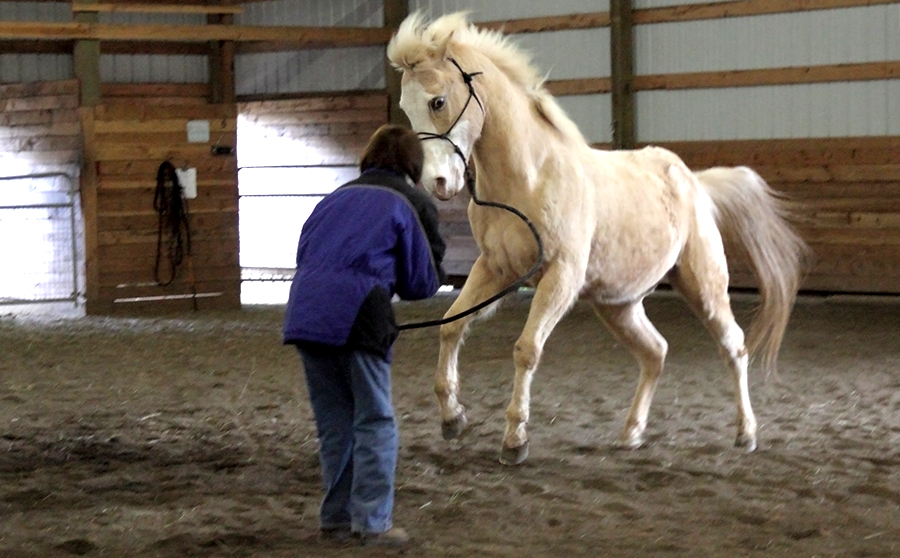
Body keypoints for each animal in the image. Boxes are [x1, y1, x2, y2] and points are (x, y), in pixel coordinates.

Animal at [387, 12, 808, 465]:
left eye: (438, 101)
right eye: (405, 108)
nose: (437, 183)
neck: (529, 179)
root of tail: (694, 182)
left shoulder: (561, 276)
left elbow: (526, 349)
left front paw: (515, 439)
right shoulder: (495, 269)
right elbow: (451, 327)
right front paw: (453, 418)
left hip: (705, 287)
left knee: (734, 346)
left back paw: (746, 432)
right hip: (618, 305)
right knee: (655, 352)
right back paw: (631, 433)